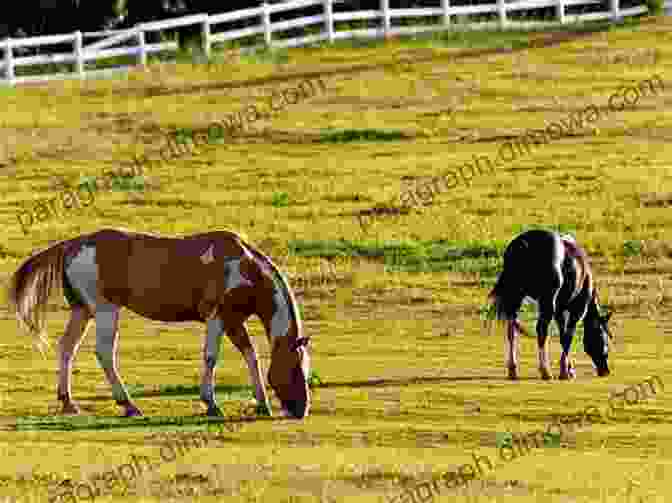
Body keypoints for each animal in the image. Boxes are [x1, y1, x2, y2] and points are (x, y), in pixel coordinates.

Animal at [7, 228, 312, 418]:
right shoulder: (217, 318)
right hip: (106, 311)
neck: (246, 267)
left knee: (67, 348)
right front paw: (211, 403)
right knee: (104, 353)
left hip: (82, 312)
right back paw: (128, 404)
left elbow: (251, 355)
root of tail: (73, 244)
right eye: (295, 368)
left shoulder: (234, 321)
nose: (302, 410)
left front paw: (262, 403)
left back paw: (68, 402)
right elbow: (211, 357)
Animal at [488, 230, 616, 380]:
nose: (605, 371)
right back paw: (545, 370)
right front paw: (565, 371)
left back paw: (513, 369)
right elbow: (568, 336)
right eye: (605, 338)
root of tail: (524, 244)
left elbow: (562, 335)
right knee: (541, 330)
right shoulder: (577, 310)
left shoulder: (559, 311)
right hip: (547, 301)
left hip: (516, 296)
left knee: (511, 329)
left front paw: (569, 368)